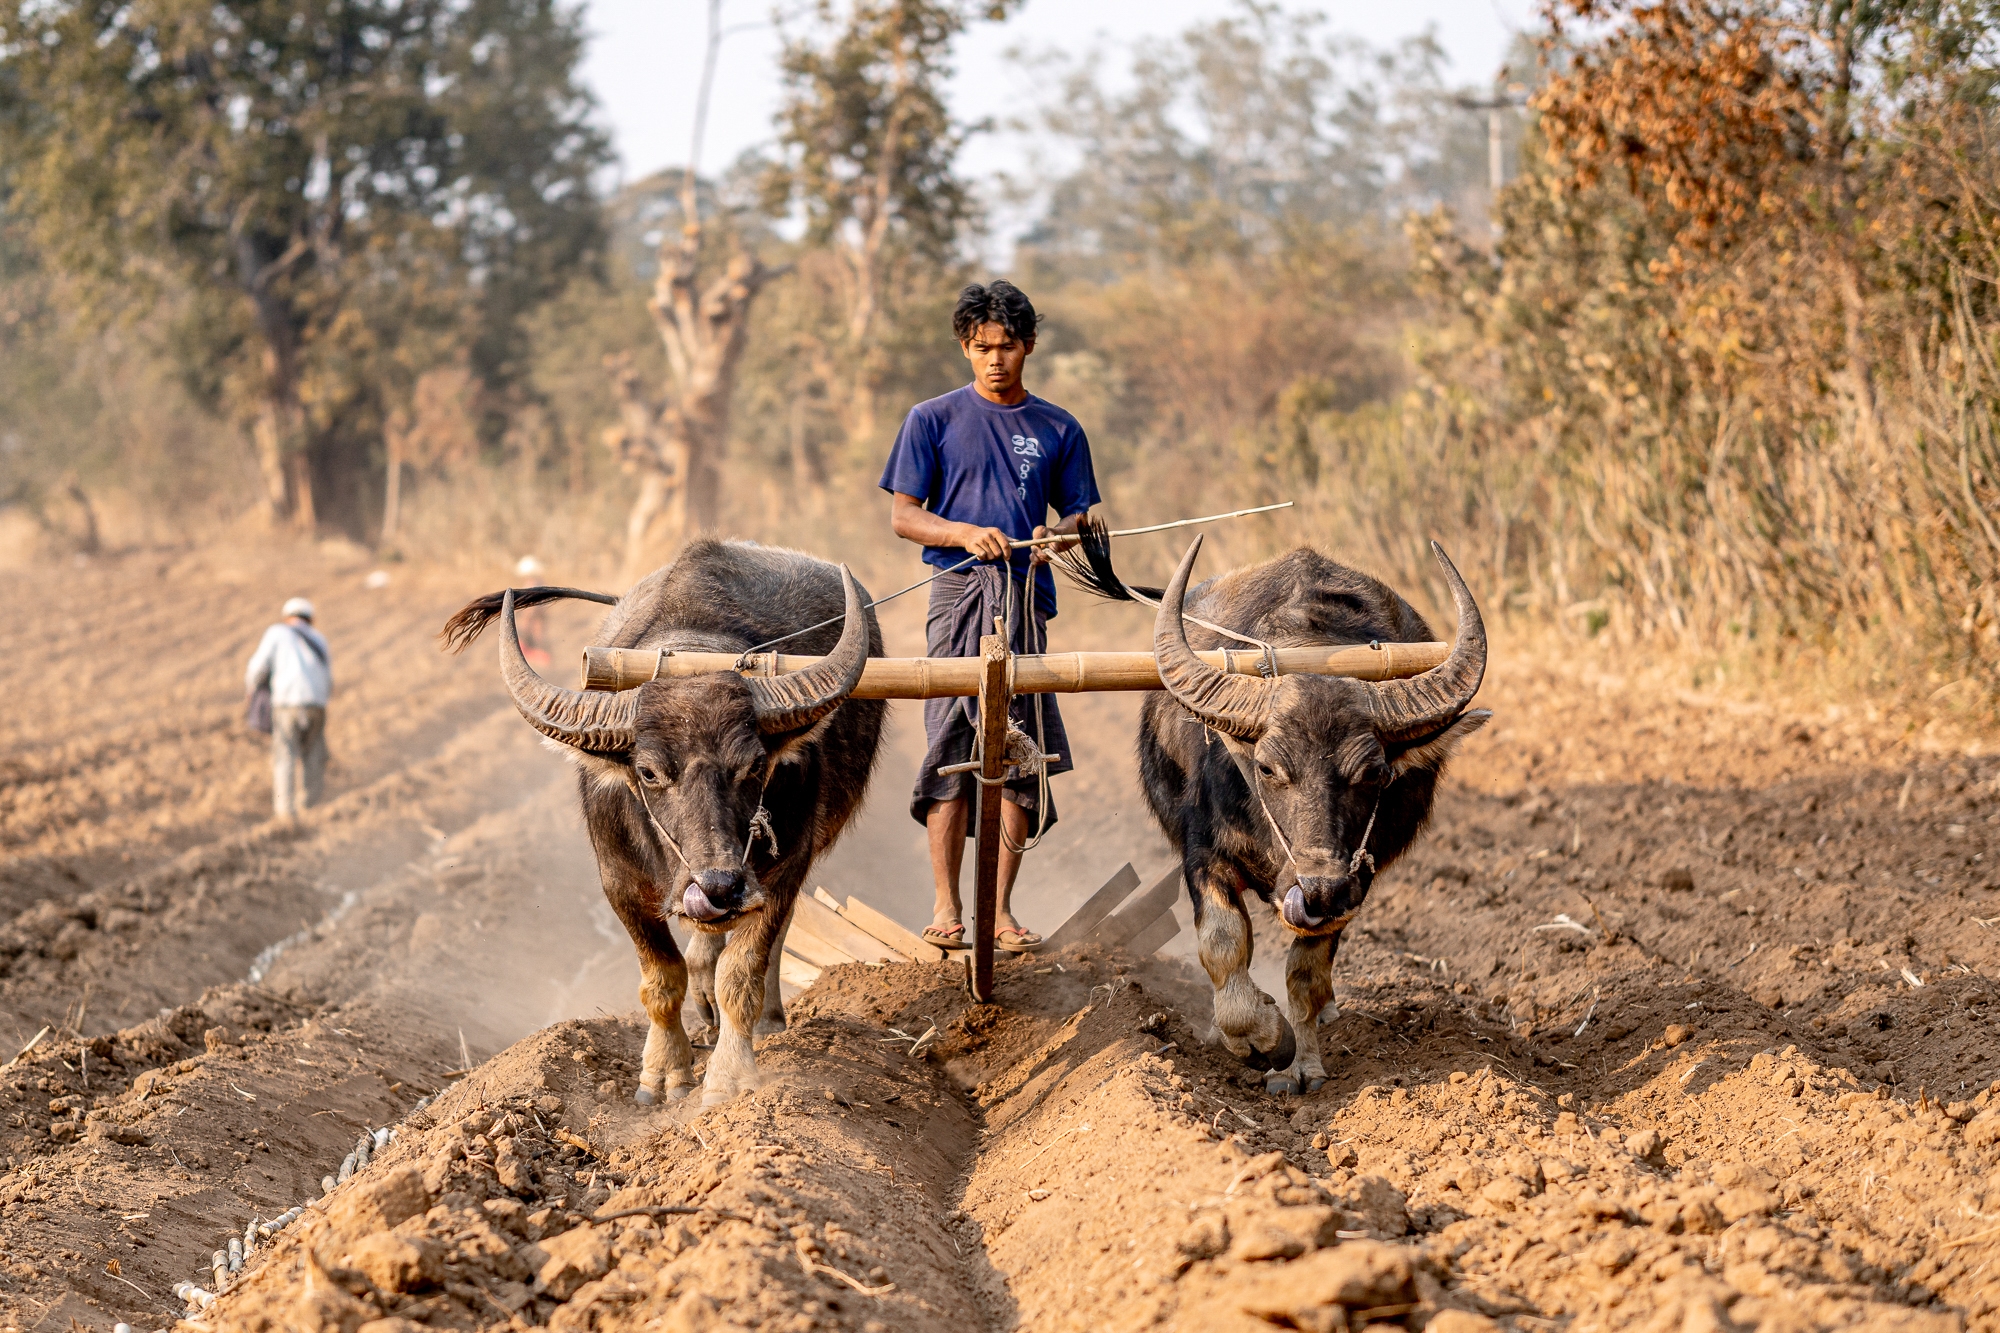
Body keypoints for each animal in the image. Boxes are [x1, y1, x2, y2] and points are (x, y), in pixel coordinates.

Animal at [441, 540, 884, 1106]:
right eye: (649, 772)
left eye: (754, 765)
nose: (719, 884)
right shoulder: (620, 882)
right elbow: (661, 976)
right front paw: (664, 1074)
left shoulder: (783, 868)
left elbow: (742, 972)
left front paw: (729, 1076)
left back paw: (763, 1017)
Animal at [1138, 535, 1489, 1095]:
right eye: (1266, 767)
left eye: (1375, 773)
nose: (1317, 887)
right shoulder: (1204, 854)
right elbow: (1222, 943)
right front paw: (1259, 1038)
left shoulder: (1353, 883)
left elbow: (1305, 975)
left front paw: (1301, 1065)